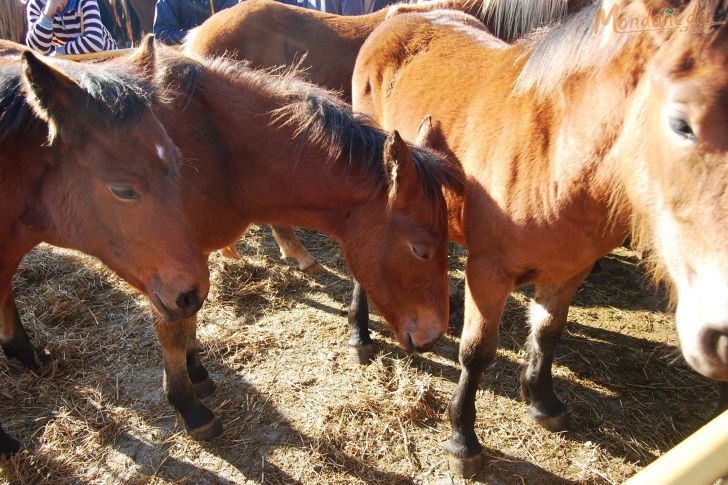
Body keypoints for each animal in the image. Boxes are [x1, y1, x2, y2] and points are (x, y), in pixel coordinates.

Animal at [141, 48, 460, 438]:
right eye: (419, 249)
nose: (434, 337)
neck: (216, 149)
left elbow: (188, 316)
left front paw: (196, 371)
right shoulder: (164, 256)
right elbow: (171, 326)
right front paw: (189, 407)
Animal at [352, 0, 728, 476]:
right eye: (682, 124)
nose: (720, 335)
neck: (555, 158)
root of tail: (399, 15)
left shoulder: (570, 270)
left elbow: (549, 332)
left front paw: (543, 401)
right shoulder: (488, 272)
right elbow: (477, 352)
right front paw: (462, 439)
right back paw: (360, 334)